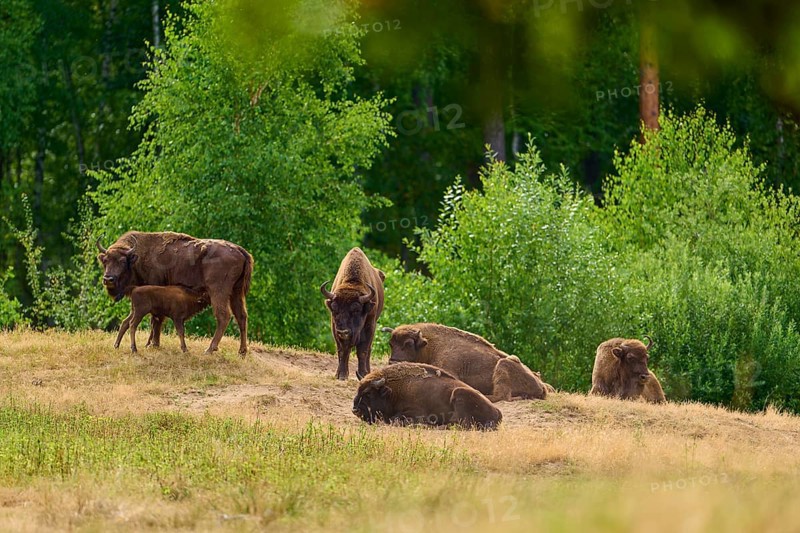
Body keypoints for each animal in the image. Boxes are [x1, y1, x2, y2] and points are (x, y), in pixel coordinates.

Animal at [97, 231, 253, 354]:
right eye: (105, 261)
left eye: (123, 261)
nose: (108, 279)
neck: (140, 256)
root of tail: (240, 250)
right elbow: (155, 319)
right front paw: (150, 344)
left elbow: (156, 319)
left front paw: (153, 344)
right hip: (236, 292)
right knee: (241, 316)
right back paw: (242, 351)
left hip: (218, 292)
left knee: (223, 316)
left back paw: (209, 349)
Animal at [320, 247, 385, 380]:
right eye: (334, 309)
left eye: (356, 310)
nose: (343, 332)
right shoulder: (335, 328)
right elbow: (343, 350)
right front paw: (341, 375)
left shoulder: (370, 325)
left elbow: (362, 351)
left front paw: (363, 374)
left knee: (368, 350)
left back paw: (368, 371)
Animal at [353, 362, 502, 430]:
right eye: (358, 390)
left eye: (368, 393)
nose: (355, 410)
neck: (393, 391)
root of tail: (497, 411)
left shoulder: (415, 413)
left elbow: (394, 420)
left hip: (459, 393)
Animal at [382, 323, 553, 402]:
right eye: (391, 344)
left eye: (408, 344)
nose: (393, 362)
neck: (430, 345)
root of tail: (541, 385)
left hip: (504, 365)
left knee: (502, 395)